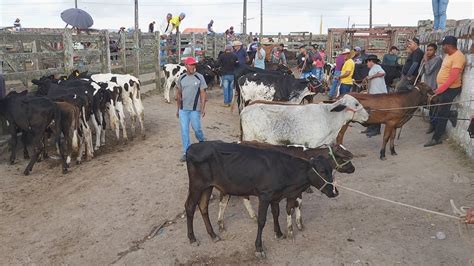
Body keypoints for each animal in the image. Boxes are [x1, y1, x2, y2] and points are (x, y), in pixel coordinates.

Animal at [184, 141, 336, 258]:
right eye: (322, 171)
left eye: (331, 170)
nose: (335, 191)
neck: (285, 171)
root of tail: (193, 147)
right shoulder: (265, 196)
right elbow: (262, 221)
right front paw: (259, 248)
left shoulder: (275, 196)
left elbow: (276, 214)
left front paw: (279, 233)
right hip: (197, 185)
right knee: (190, 206)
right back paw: (192, 238)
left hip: (208, 186)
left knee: (203, 207)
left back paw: (213, 235)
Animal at [217, 142, 354, 238]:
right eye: (344, 158)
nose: (353, 169)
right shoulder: (293, 191)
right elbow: (292, 206)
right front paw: (293, 228)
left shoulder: (297, 190)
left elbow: (298, 204)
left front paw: (298, 223)